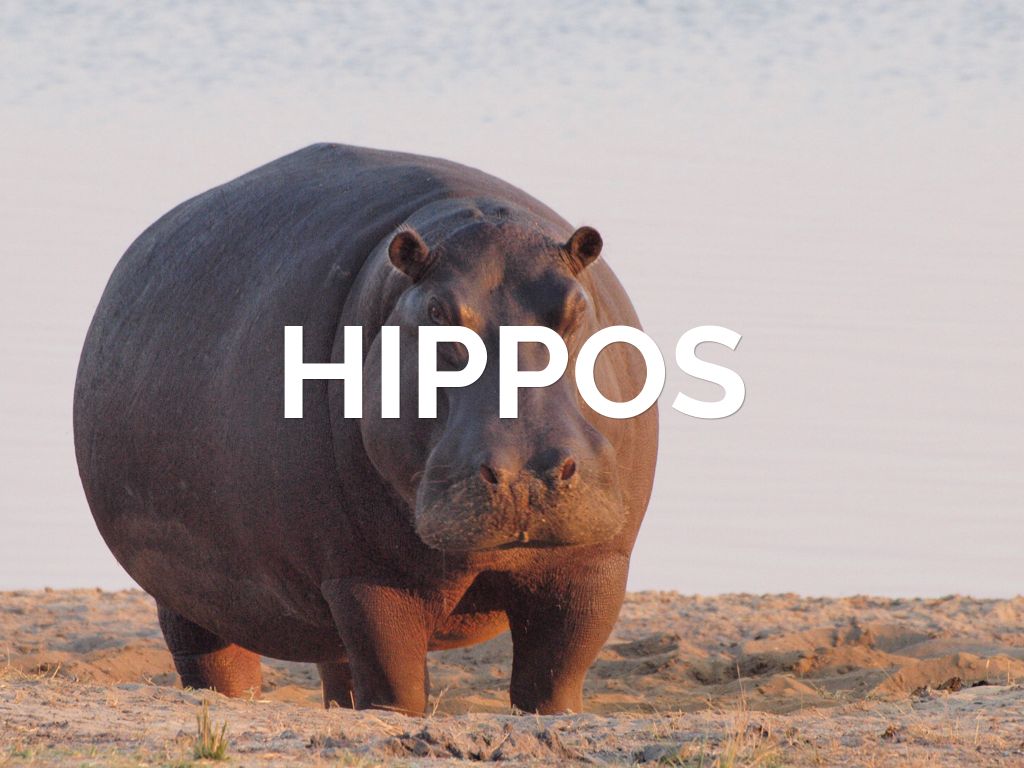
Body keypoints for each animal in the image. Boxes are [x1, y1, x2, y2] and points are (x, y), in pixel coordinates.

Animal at [73, 143, 659, 714]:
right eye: (436, 312)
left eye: (576, 306)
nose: (526, 477)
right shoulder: (365, 577)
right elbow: (394, 684)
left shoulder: (595, 567)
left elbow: (555, 683)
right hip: (188, 596)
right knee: (216, 662)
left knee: (339, 670)